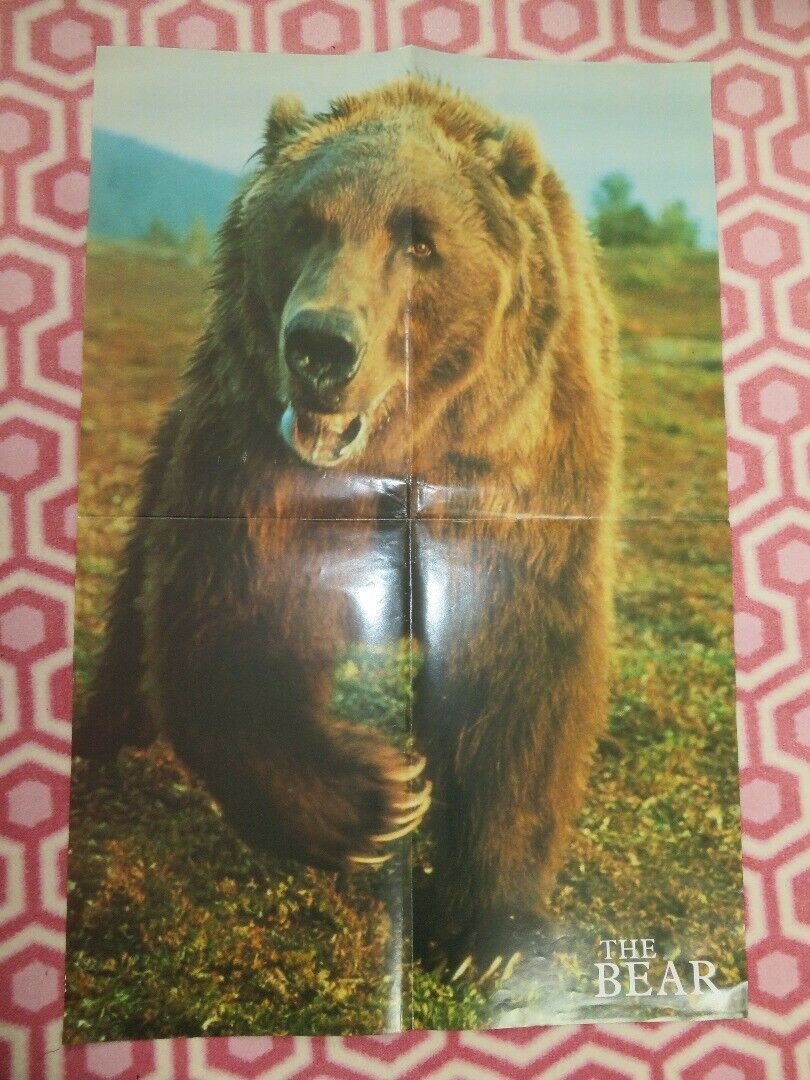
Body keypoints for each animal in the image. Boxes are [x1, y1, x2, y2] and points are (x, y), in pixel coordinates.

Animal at [74, 76, 620, 969]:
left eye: (422, 243)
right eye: (304, 222)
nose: (322, 345)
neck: (403, 451)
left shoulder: (519, 470)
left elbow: (521, 663)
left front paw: (488, 931)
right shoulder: (256, 462)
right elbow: (228, 615)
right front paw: (378, 798)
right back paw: (104, 731)